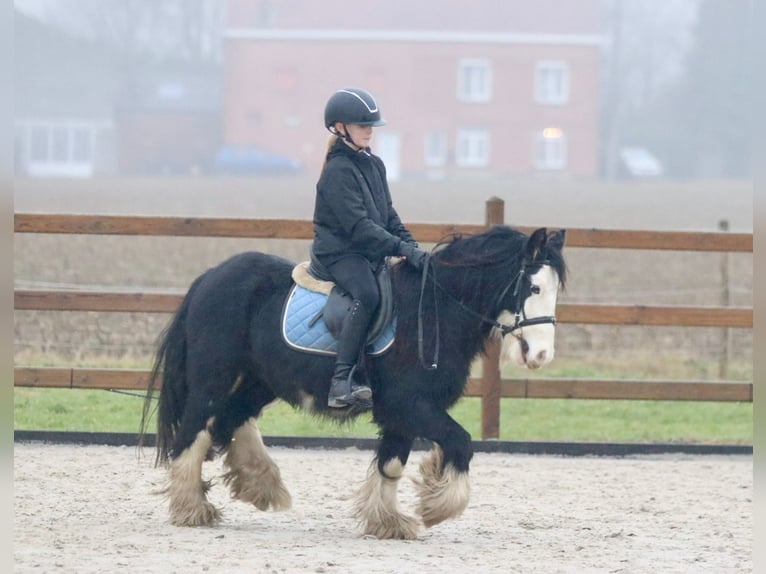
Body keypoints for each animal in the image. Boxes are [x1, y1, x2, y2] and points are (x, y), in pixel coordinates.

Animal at [141, 225, 568, 540]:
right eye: (533, 288)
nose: (541, 356)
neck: (433, 313)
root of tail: (210, 278)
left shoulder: (404, 414)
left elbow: (391, 463)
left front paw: (389, 521)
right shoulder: (409, 405)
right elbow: (460, 442)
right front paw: (435, 506)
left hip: (259, 383)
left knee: (230, 421)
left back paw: (261, 484)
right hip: (213, 380)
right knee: (195, 433)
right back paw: (192, 508)